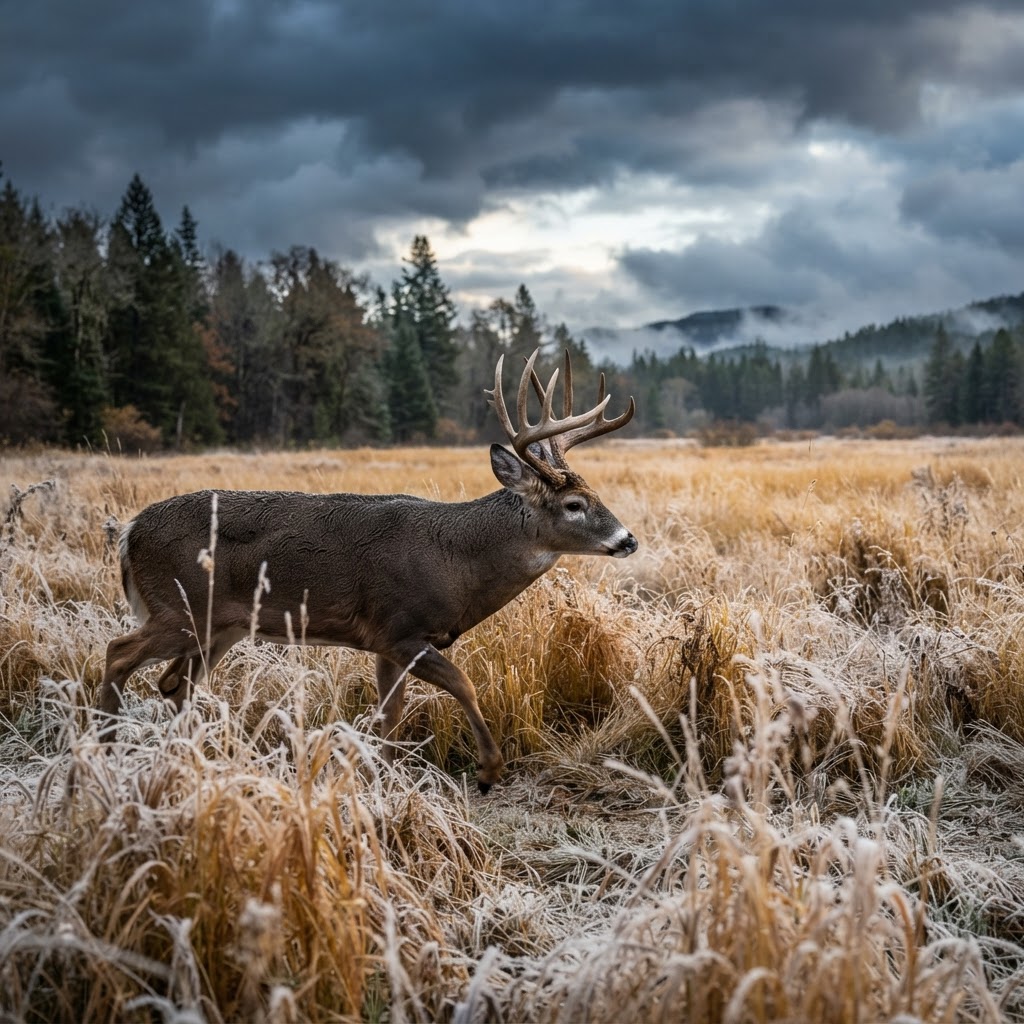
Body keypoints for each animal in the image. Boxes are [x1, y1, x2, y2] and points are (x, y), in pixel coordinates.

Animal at [96, 348, 637, 791]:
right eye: (573, 505)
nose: (627, 539)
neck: (458, 561)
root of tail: (129, 531)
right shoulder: (399, 627)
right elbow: (461, 683)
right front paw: (488, 771)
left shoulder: (383, 643)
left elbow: (388, 718)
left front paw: (385, 781)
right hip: (179, 606)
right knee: (118, 653)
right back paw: (105, 749)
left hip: (218, 626)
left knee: (174, 683)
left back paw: (188, 759)